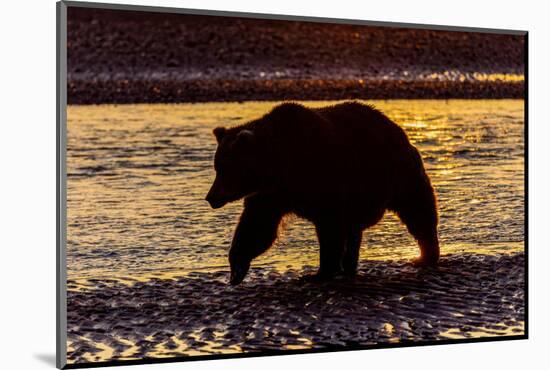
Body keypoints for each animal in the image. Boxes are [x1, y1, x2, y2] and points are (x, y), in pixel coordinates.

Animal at [206, 99, 440, 284]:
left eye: (226, 169)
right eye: (217, 167)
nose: (210, 197)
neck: (281, 165)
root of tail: (398, 129)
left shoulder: (324, 179)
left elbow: (330, 229)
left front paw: (319, 272)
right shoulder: (272, 195)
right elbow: (256, 226)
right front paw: (236, 269)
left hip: (396, 174)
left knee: (417, 210)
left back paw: (425, 256)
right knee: (355, 230)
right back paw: (350, 266)